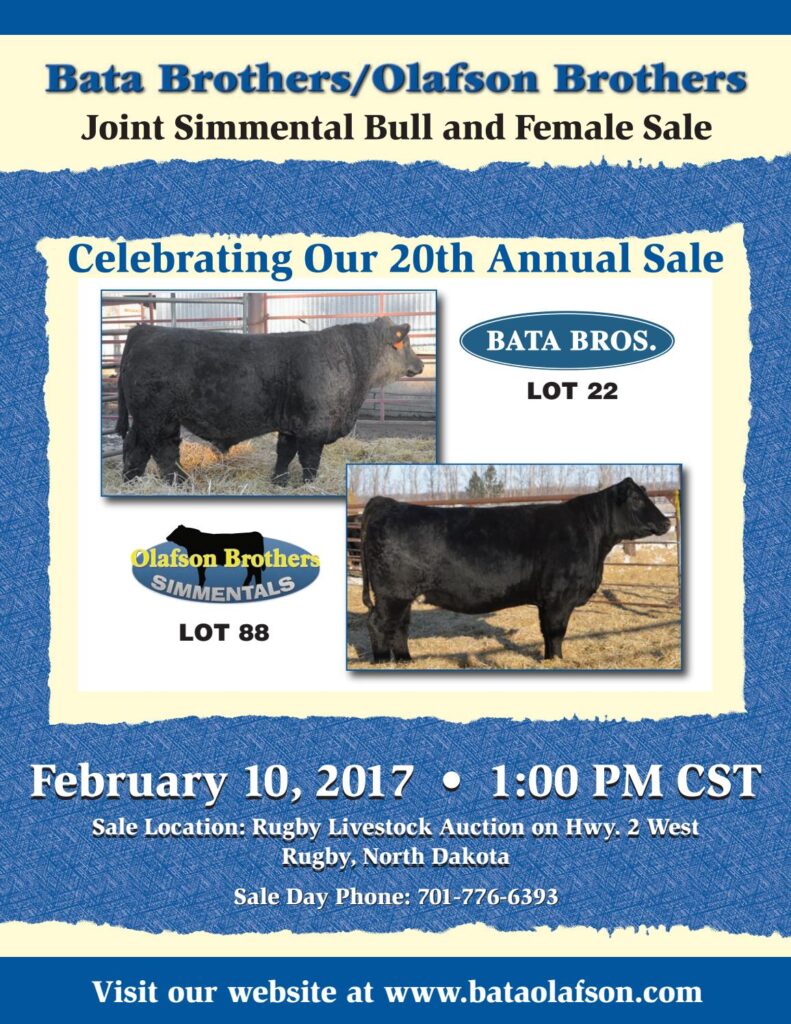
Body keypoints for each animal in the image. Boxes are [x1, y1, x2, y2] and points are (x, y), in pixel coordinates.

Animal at [115, 317, 424, 486]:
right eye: (406, 344)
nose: (420, 364)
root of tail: (146, 330)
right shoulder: (313, 429)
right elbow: (309, 461)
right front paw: (307, 485)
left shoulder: (291, 425)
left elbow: (284, 453)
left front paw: (280, 482)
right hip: (155, 417)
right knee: (156, 449)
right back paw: (171, 482)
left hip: (156, 419)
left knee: (144, 448)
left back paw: (141, 480)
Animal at [360, 478, 671, 663]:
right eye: (636, 499)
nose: (667, 522)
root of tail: (386, 503)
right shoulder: (559, 596)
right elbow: (556, 632)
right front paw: (556, 661)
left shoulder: (547, 599)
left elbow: (547, 632)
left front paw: (549, 659)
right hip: (393, 593)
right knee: (378, 623)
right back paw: (381, 661)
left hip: (403, 594)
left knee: (400, 625)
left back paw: (405, 659)